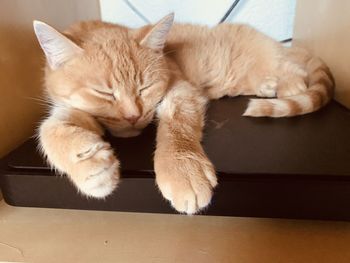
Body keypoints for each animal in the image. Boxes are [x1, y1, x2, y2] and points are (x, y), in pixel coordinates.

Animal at [32, 13, 334, 214]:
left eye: (145, 87)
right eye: (105, 93)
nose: (132, 116)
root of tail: (282, 44)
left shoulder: (181, 89)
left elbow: (177, 121)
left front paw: (181, 170)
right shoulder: (70, 107)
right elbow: (49, 128)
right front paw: (88, 164)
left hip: (272, 58)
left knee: (295, 71)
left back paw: (289, 85)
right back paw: (268, 85)